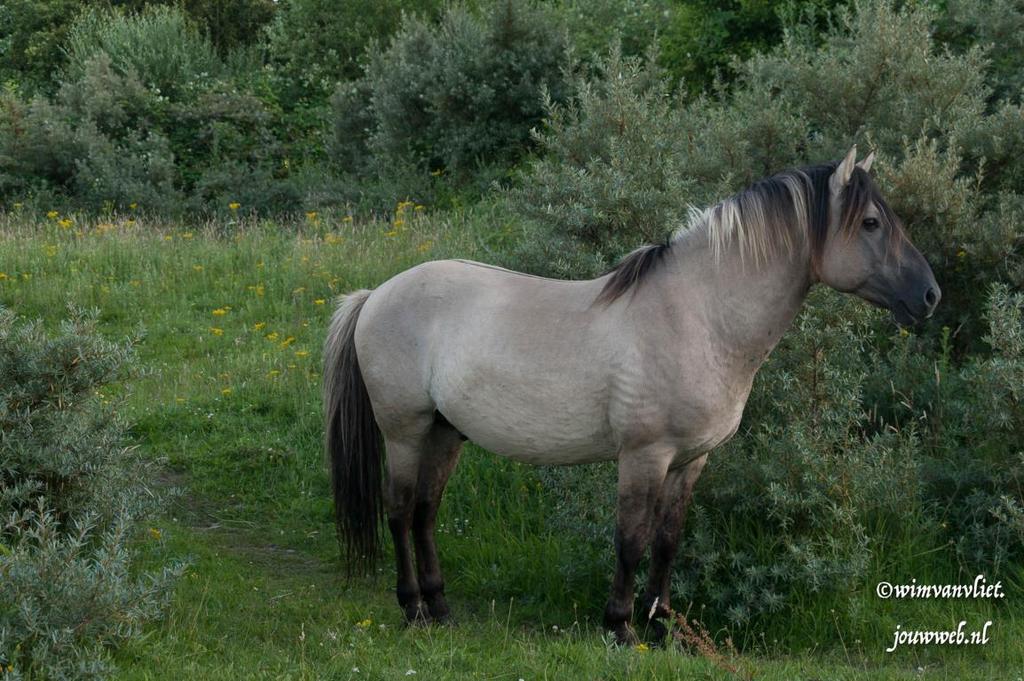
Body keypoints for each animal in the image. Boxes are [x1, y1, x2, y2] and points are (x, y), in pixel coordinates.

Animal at [323, 147, 937, 643]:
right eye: (872, 222)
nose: (930, 296)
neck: (698, 316)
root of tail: (377, 294)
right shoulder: (644, 455)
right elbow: (630, 540)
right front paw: (619, 626)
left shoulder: (690, 461)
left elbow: (667, 542)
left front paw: (662, 626)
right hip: (406, 431)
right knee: (400, 511)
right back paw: (413, 609)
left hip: (446, 431)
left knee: (426, 513)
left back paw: (442, 607)